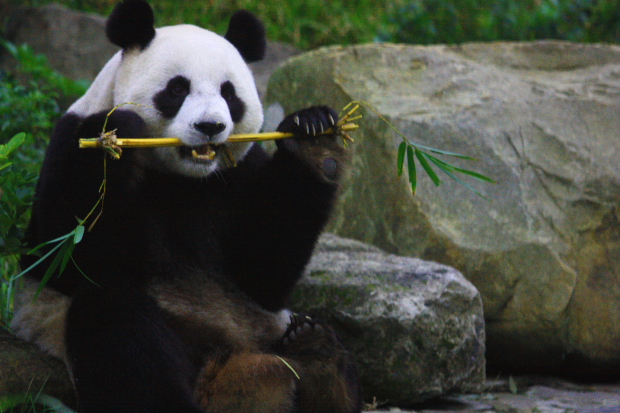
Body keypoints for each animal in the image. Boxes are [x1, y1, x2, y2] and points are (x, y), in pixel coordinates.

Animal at [10, 0, 364, 412]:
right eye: (178, 88)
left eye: (229, 94)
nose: (210, 126)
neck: (183, 177)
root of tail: (227, 369)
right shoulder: (67, 142)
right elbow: (64, 252)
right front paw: (115, 136)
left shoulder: (239, 172)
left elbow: (263, 270)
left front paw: (315, 137)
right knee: (121, 336)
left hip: (264, 328)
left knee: (324, 353)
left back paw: (318, 357)